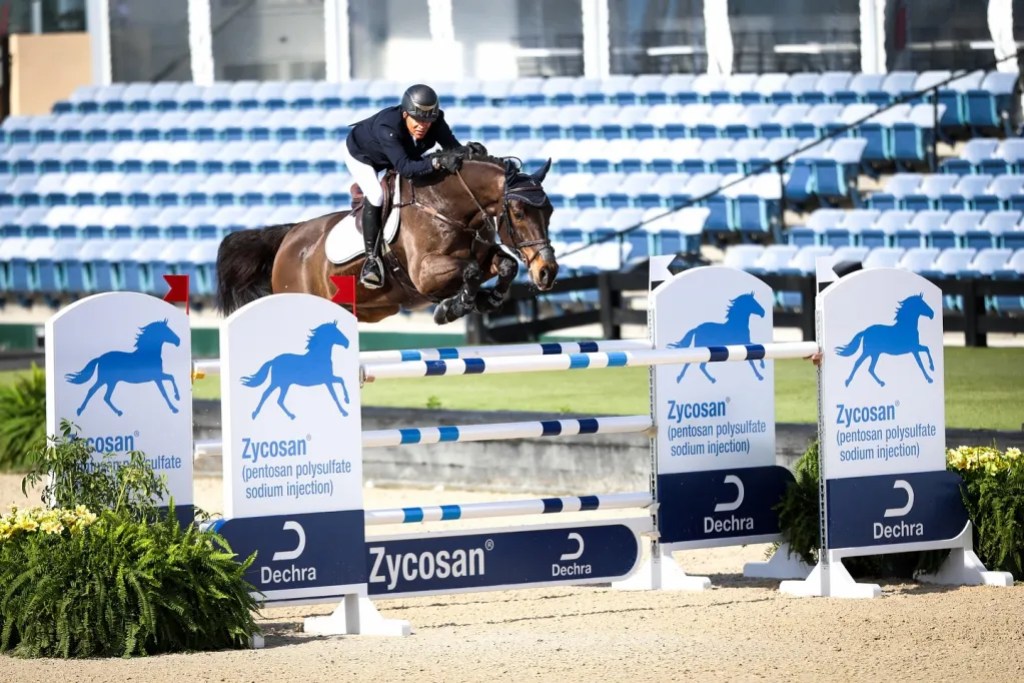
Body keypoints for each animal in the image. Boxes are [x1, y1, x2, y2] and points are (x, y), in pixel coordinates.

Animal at [214, 150, 559, 325]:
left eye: (550, 211)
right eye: (518, 212)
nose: (547, 272)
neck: (447, 206)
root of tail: (289, 237)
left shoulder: (483, 254)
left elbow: (505, 266)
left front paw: (488, 300)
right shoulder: (425, 273)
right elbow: (471, 272)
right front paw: (452, 308)